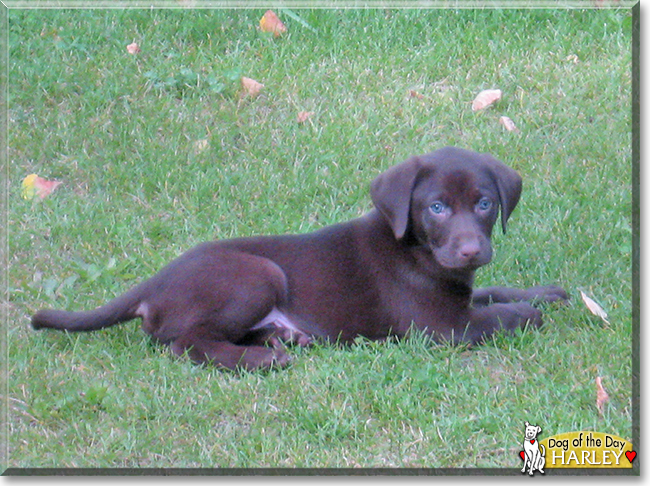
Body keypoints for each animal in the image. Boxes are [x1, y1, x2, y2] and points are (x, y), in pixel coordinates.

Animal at [31, 147, 568, 368]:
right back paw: (263, 359)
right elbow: (510, 314)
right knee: (186, 343)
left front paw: (549, 291)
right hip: (258, 274)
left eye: (484, 203)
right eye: (436, 207)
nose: (472, 249)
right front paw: (533, 308)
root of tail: (151, 284)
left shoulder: (462, 289)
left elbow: (495, 290)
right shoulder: (444, 328)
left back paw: (280, 338)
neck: (418, 249)